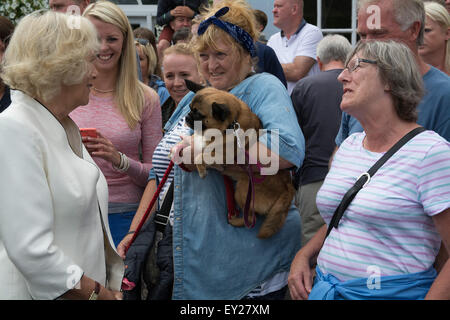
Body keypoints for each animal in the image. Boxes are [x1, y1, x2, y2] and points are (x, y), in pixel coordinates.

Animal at [184, 81, 296, 239]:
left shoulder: (222, 155)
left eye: (198, 114)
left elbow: (201, 156)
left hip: (242, 190)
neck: (231, 123)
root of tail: (288, 187)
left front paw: (201, 170)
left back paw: (235, 220)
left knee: (249, 218)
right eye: (189, 109)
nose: (187, 117)